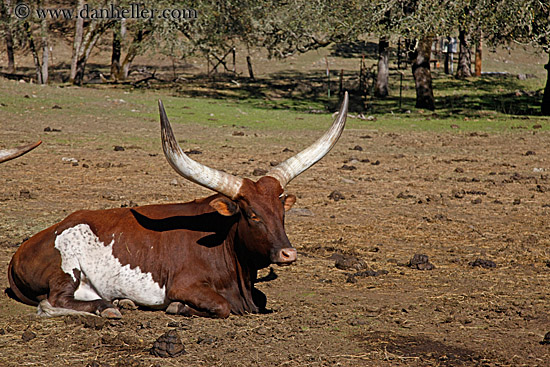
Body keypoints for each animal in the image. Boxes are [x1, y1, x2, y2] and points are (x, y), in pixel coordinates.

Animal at [7, 92, 350, 320]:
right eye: (252, 215)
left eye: (281, 213)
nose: (288, 254)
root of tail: (21, 250)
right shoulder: (186, 285)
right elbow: (221, 307)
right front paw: (177, 307)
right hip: (66, 269)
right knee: (51, 302)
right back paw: (108, 309)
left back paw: (122, 302)